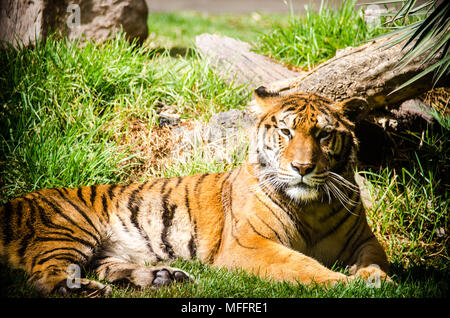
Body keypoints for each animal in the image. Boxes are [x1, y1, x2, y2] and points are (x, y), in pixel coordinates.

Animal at [0, 86, 390, 296]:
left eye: (324, 134)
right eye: (286, 132)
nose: (302, 168)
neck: (311, 207)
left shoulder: (365, 240)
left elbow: (376, 259)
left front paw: (375, 277)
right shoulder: (251, 245)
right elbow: (300, 265)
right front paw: (342, 282)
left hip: (103, 251)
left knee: (103, 267)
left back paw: (164, 277)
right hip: (67, 230)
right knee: (46, 277)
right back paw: (92, 291)